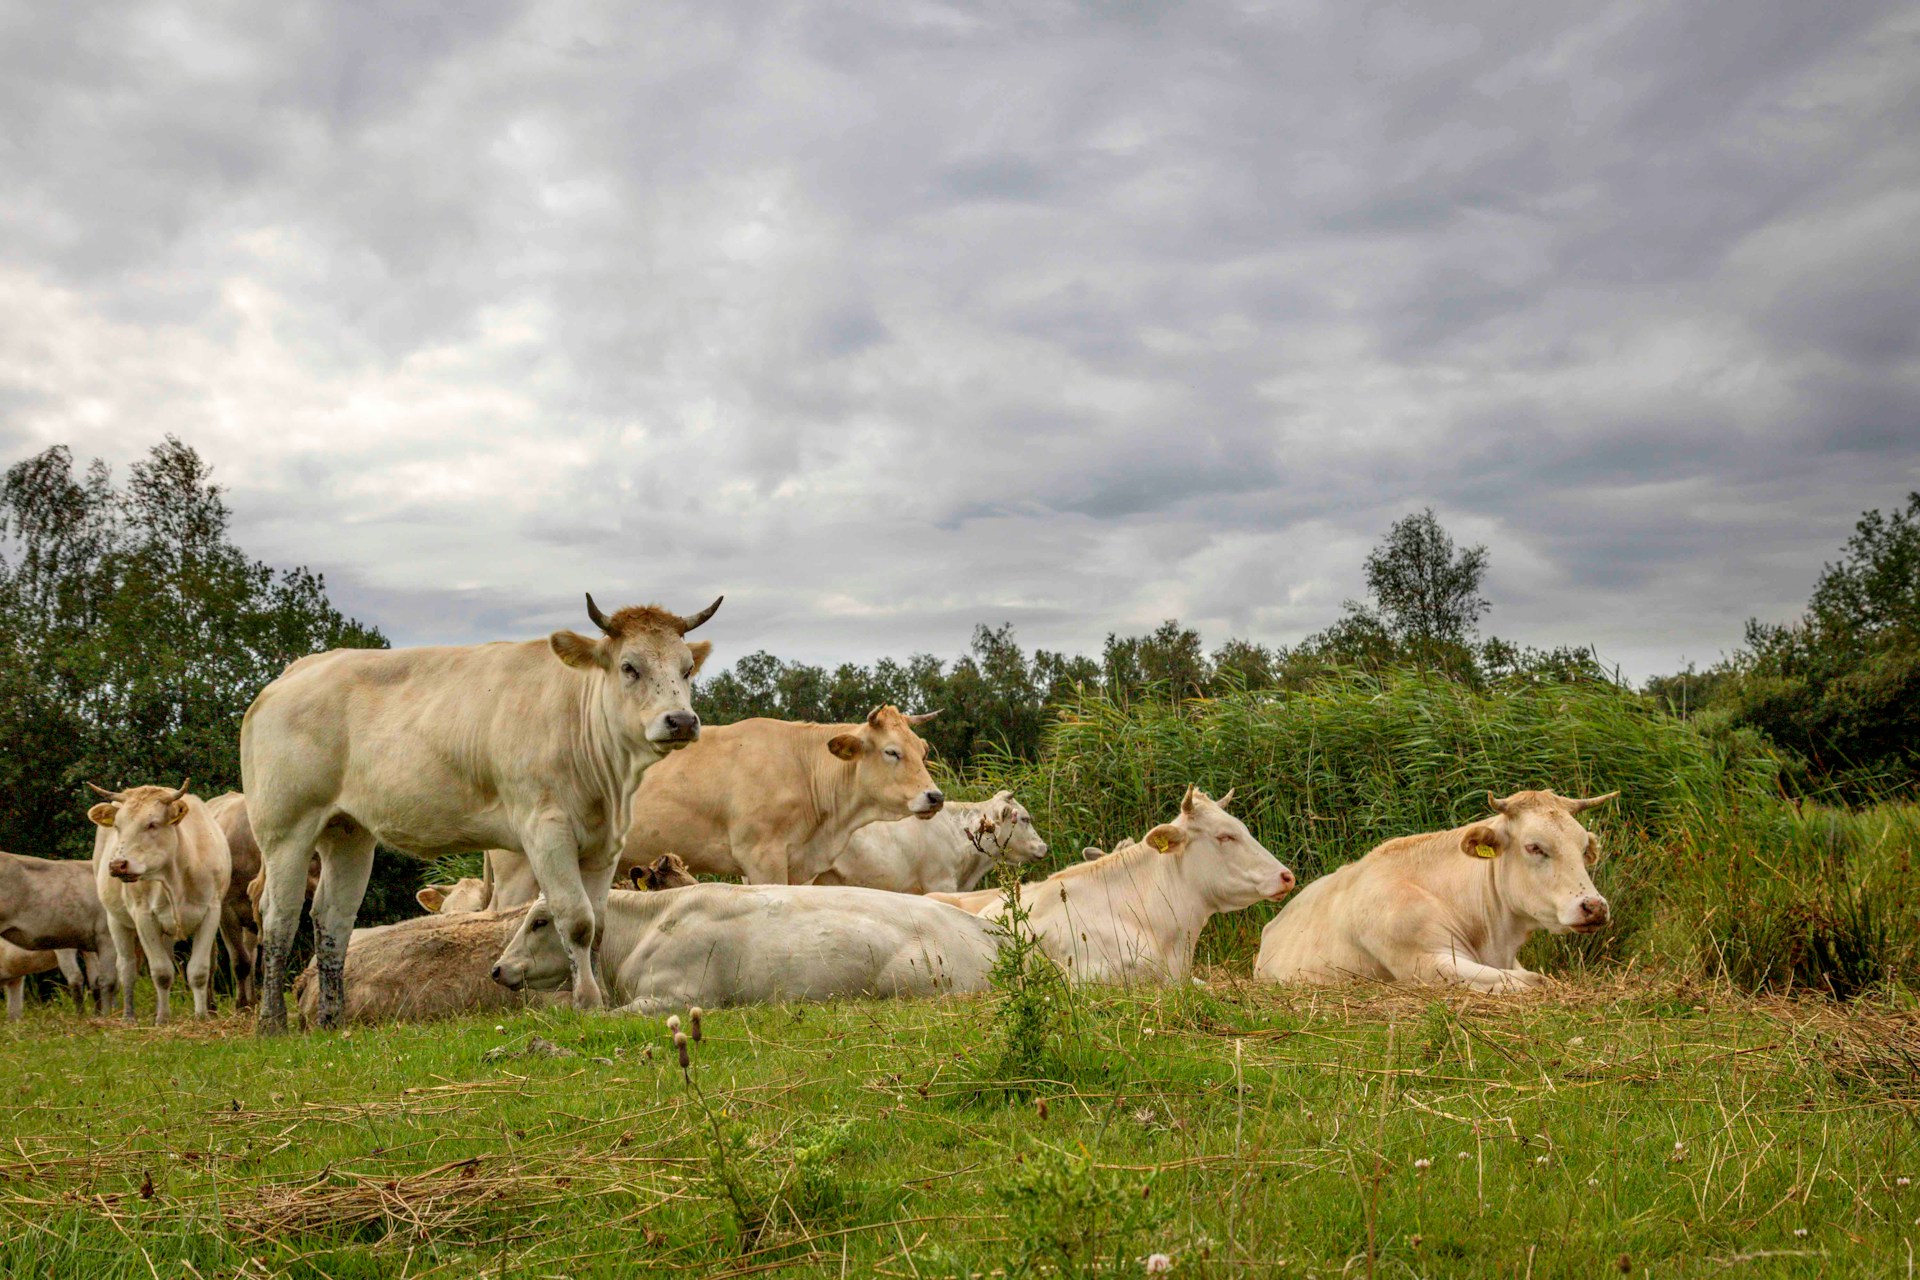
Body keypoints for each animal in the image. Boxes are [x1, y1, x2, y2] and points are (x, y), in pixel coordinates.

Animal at [88, 780, 233, 1025]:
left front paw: (201, 1016)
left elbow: (199, 970)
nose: (117, 865)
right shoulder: (143, 916)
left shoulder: (211, 912)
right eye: (117, 826)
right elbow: (161, 972)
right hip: (116, 920)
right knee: (127, 967)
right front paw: (163, 1019)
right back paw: (129, 1016)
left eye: (152, 824)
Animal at [241, 592, 720, 1032]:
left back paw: (330, 1020)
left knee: (333, 919)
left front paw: (596, 989)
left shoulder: (606, 843)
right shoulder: (545, 831)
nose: (680, 720)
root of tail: (293, 673)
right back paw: (271, 1023)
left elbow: (599, 924)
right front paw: (586, 1000)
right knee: (280, 916)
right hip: (285, 828)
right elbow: (577, 920)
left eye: (686, 669)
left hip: (348, 832)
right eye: (629, 667)